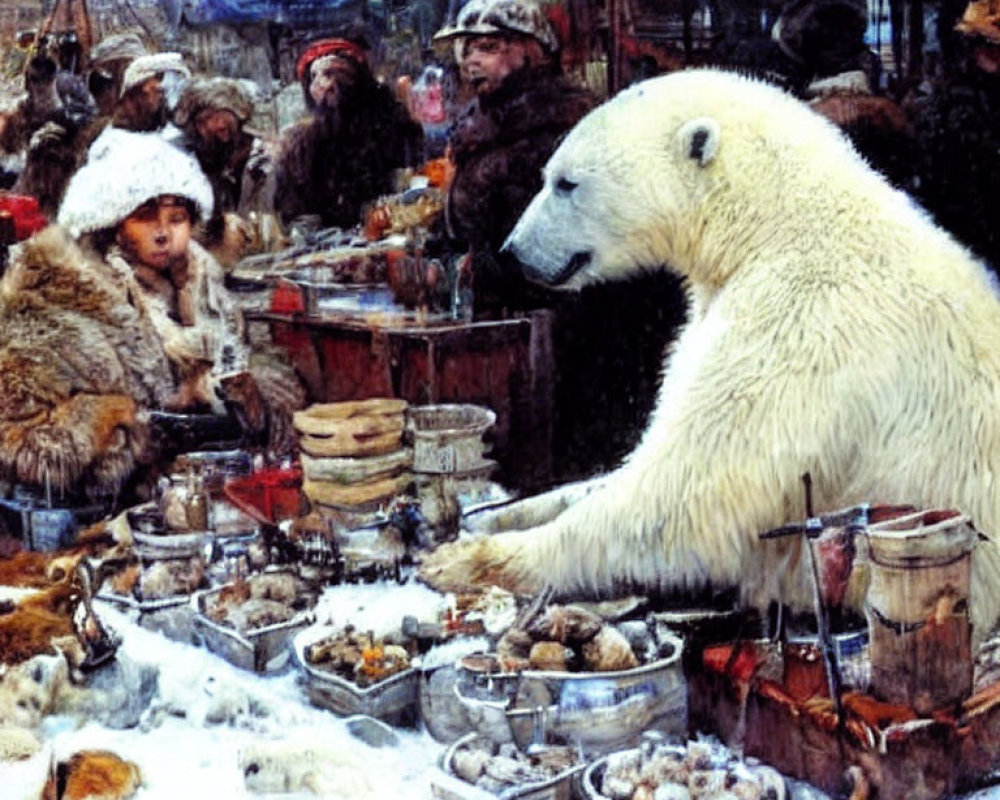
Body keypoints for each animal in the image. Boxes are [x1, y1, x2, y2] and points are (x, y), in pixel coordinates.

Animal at [422, 67, 1000, 632]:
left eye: (566, 182)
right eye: (548, 176)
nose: (513, 252)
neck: (777, 222)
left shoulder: (797, 323)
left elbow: (688, 490)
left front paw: (469, 558)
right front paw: (493, 513)